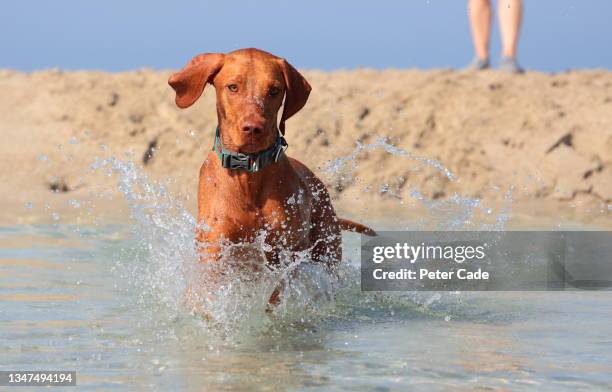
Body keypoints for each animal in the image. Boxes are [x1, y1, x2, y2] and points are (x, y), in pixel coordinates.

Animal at [170, 46, 376, 304]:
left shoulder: (285, 251)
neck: (249, 174)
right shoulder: (215, 247)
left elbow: (277, 289)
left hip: (326, 249)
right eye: (232, 87)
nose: (253, 128)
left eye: (274, 90)